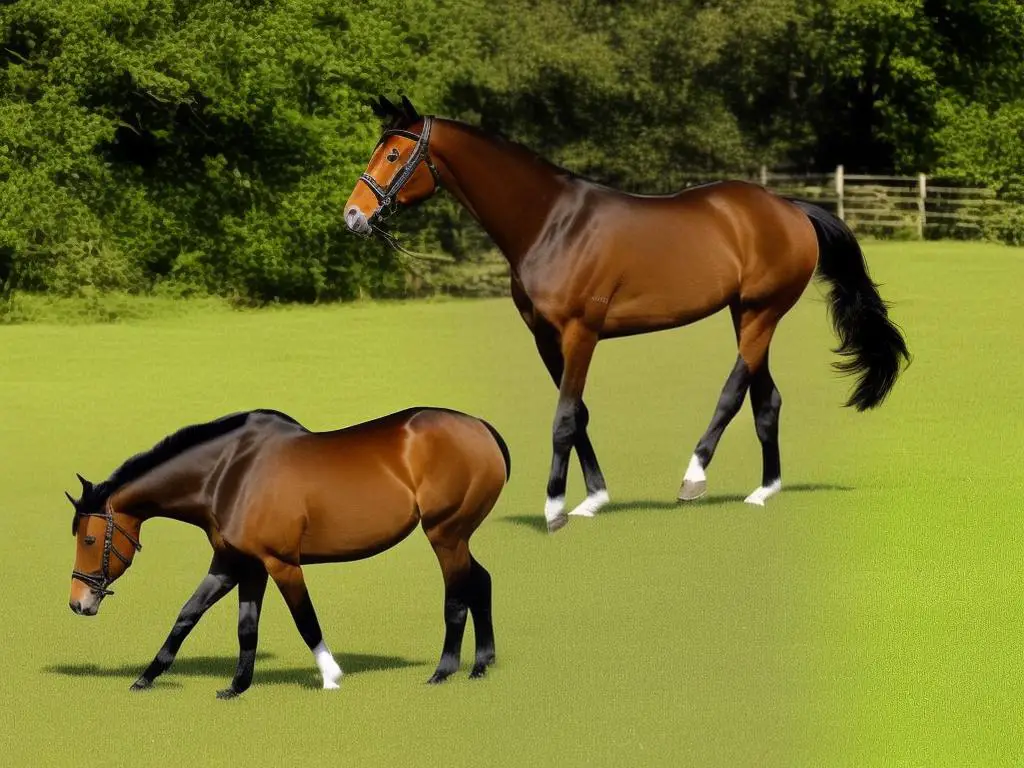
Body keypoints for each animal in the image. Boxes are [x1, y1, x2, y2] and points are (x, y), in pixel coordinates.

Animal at [65, 409, 512, 696]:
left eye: (88, 540)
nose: (78, 602)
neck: (230, 474)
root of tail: (482, 429)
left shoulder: (281, 564)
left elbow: (305, 621)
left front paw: (331, 677)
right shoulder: (237, 565)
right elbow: (207, 618)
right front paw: (177, 681)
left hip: (445, 535)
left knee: (457, 597)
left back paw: (443, 671)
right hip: (458, 536)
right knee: (482, 581)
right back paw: (480, 665)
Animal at [346, 97, 913, 536]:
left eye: (394, 153)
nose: (353, 215)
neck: (551, 223)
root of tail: (790, 208)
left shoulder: (581, 333)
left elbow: (563, 417)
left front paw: (555, 509)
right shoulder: (545, 338)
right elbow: (579, 414)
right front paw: (593, 498)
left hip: (763, 311)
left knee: (733, 391)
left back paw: (694, 478)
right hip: (746, 312)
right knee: (765, 398)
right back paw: (763, 490)